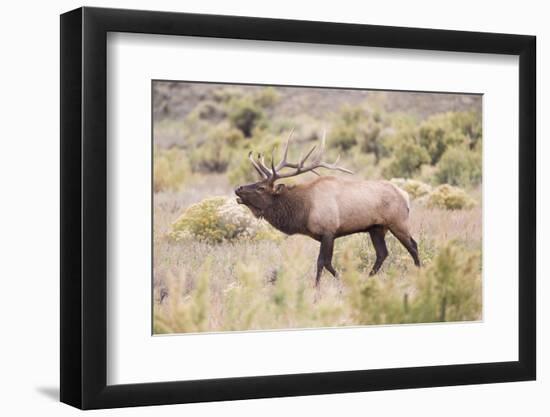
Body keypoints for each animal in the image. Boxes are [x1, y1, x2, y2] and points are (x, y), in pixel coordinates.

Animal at [234, 130, 422, 286]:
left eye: (261, 188)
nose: (238, 188)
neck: (303, 211)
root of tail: (405, 195)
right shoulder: (324, 235)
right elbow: (326, 263)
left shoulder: (328, 231)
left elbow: (322, 262)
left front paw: (320, 290)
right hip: (376, 228)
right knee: (382, 253)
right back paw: (368, 280)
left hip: (398, 222)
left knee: (413, 246)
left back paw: (420, 273)